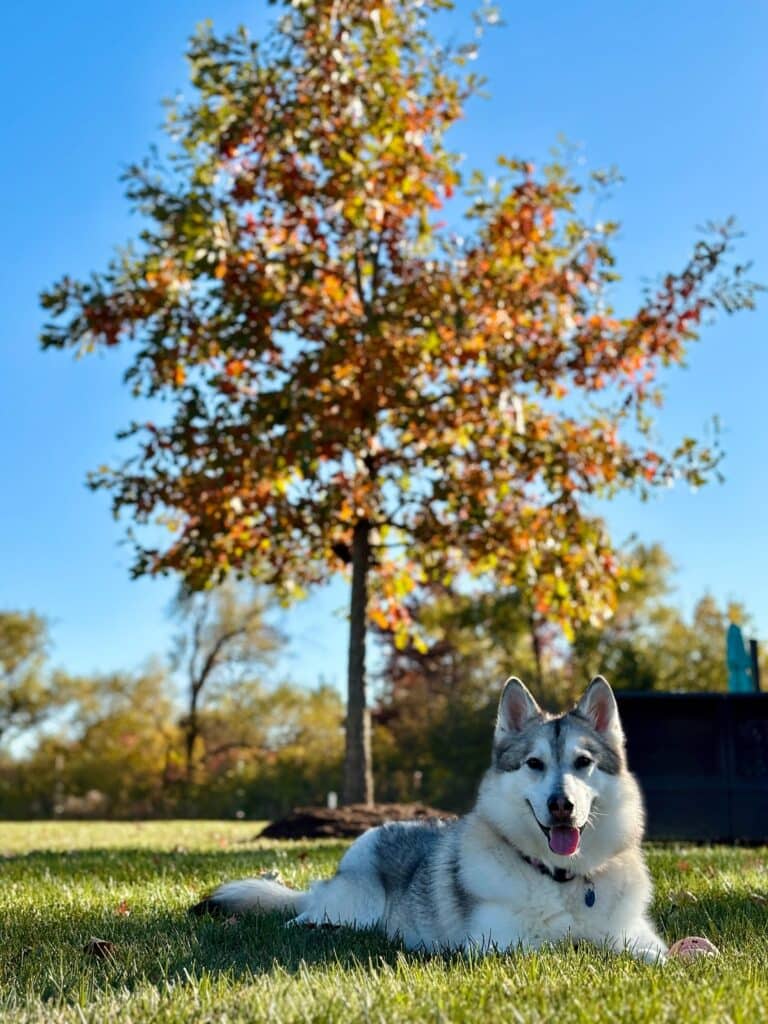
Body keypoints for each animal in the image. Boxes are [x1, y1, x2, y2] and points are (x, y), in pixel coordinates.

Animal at [193, 676, 667, 962]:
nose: (560, 805)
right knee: (302, 921)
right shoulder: (502, 945)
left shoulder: (634, 936)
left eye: (583, 762)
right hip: (354, 909)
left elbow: (654, 955)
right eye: (534, 764)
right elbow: (568, 950)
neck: (563, 879)